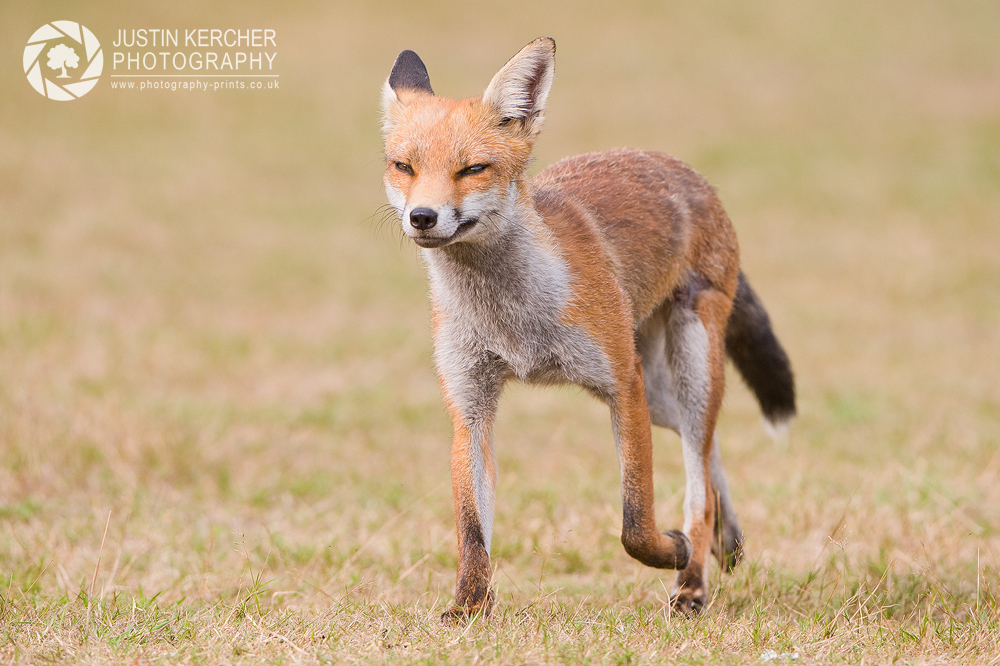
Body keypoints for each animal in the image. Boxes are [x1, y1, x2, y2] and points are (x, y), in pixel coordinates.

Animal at [378, 36, 792, 616]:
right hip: (658, 389)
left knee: (697, 467)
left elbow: (635, 523)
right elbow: (471, 527)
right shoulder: (470, 404)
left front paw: (674, 550)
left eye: (473, 169)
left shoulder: (621, 384)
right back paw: (724, 538)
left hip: (683, 366)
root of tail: (680, 168)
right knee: (708, 450)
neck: (514, 318)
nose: (422, 217)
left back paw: (692, 578)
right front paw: (469, 609)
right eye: (404, 166)